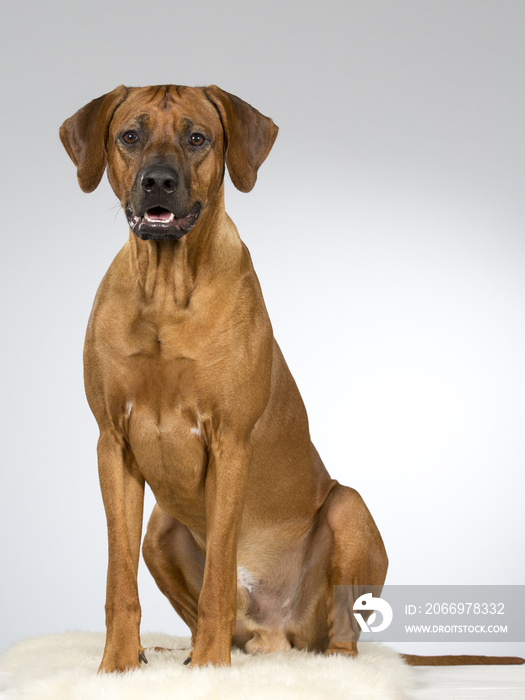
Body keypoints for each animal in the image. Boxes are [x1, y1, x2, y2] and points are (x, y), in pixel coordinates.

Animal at [60, 85, 520, 668]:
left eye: (197, 138)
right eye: (130, 135)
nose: (158, 181)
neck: (166, 290)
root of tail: (277, 635)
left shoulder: (230, 443)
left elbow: (217, 580)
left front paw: (209, 670)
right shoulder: (112, 444)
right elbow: (118, 580)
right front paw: (119, 665)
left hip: (347, 511)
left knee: (343, 631)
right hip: (159, 530)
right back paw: (176, 653)